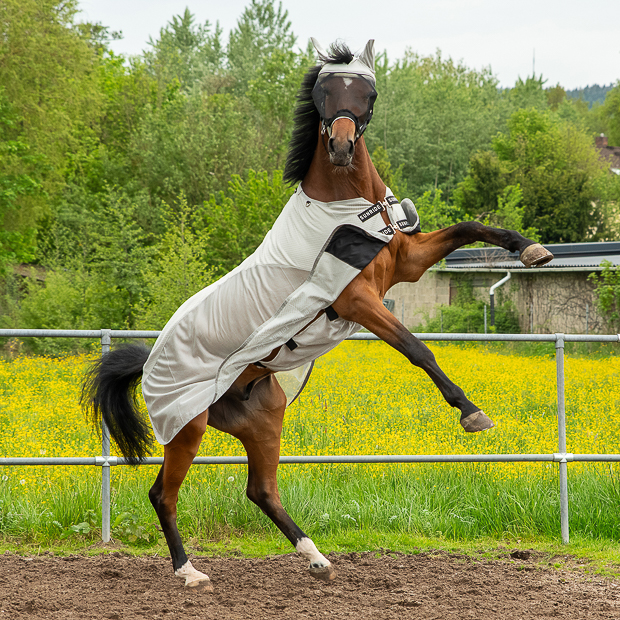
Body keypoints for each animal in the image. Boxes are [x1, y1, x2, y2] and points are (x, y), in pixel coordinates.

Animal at [81, 38, 552, 592]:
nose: (342, 147)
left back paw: (316, 558)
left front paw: (532, 250)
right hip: (187, 428)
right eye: (323, 93)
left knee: (261, 491)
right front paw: (471, 413)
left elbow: (470, 226)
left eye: (367, 93)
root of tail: (150, 360)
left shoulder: (407, 263)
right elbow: (416, 349)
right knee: (163, 494)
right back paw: (190, 572)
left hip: (263, 421)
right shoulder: (358, 300)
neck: (351, 211)